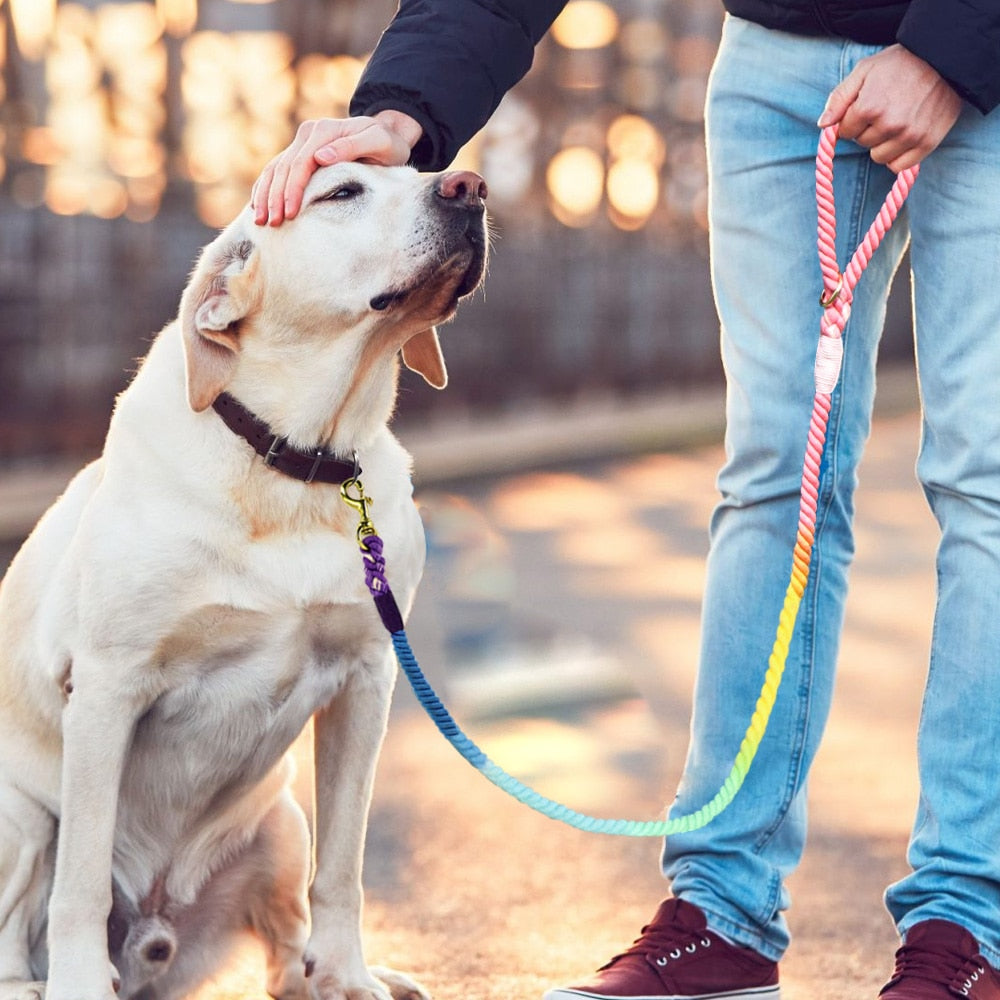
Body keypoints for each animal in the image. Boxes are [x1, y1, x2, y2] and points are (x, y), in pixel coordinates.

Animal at [0, 162, 488, 1000]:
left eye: (418, 169)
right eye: (341, 192)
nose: (471, 186)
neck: (295, 461)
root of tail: (154, 939)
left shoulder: (368, 677)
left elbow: (344, 866)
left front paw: (349, 974)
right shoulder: (105, 688)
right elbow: (81, 882)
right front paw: (77, 984)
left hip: (281, 817)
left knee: (286, 945)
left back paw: (336, 975)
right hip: (20, 817)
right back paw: (34, 985)